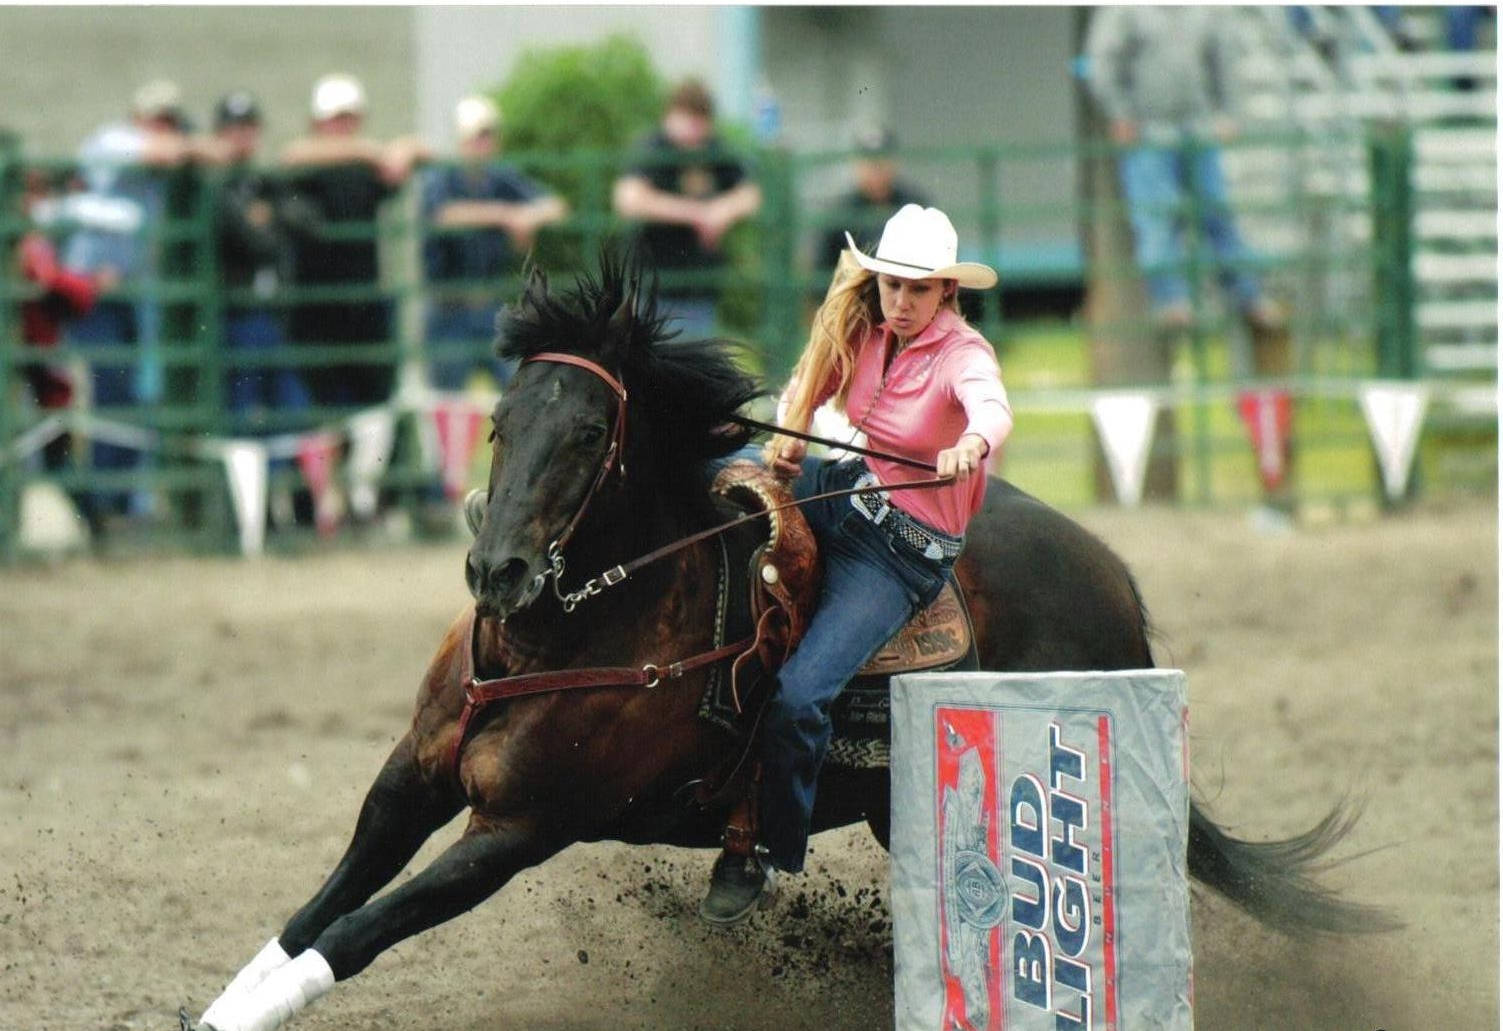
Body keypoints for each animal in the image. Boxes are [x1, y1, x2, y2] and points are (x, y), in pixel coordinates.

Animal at [190, 253, 1394, 1027]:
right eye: (499, 422)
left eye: (588, 435)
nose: (499, 573)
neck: (570, 634)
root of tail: (1111, 578)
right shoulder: (410, 778)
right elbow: (312, 913)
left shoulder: (519, 828)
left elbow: (359, 930)